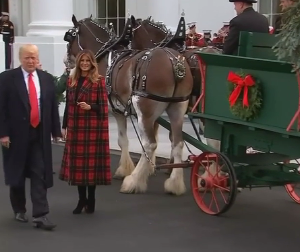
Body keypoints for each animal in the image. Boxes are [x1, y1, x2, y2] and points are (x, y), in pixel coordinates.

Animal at [64, 14, 193, 196]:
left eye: (70, 37)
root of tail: (176, 64)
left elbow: (122, 140)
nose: (66, 60)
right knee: (177, 143)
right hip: (177, 109)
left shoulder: (115, 110)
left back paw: (134, 181)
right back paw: (175, 183)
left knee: (149, 144)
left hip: (144, 111)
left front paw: (124, 170)